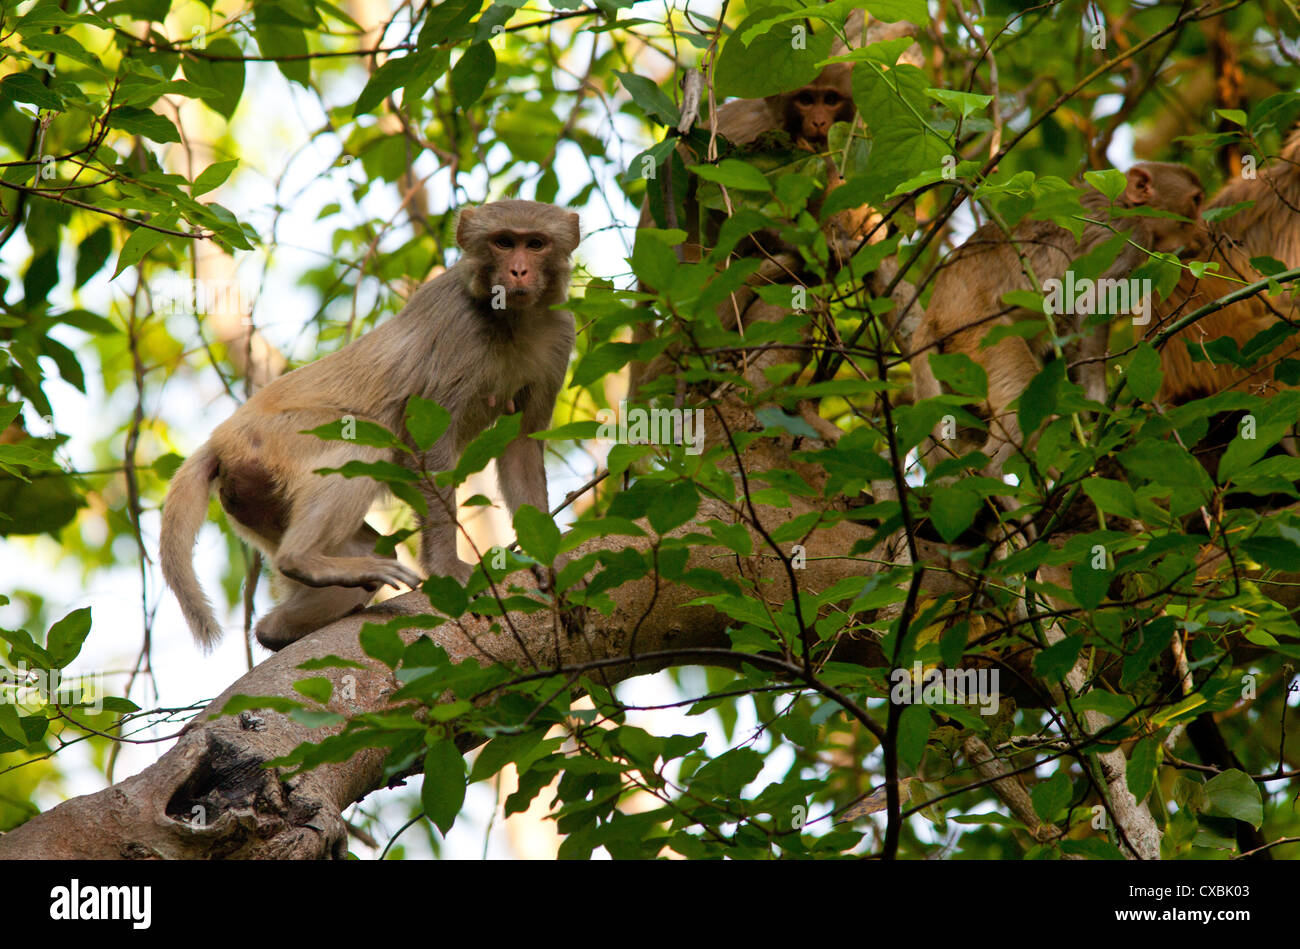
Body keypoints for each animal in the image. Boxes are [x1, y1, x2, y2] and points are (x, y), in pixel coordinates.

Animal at [161, 196, 579, 647]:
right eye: (503, 242)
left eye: (535, 244)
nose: (518, 270)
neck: (512, 319)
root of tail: (219, 438)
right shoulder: (459, 328)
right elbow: (423, 442)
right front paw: (447, 568)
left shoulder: (560, 332)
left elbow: (522, 445)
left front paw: (545, 558)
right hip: (273, 441)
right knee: (361, 441)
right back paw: (303, 560)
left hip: (252, 495)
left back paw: (276, 630)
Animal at [909, 163, 1201, 475]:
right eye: (1195, 201)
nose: (1201, 231)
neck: (1123, 204)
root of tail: (936, 308)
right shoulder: (1128, 236)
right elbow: (1084, 315)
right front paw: (1098, 411)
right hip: (978, 334)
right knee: (1022, 392)